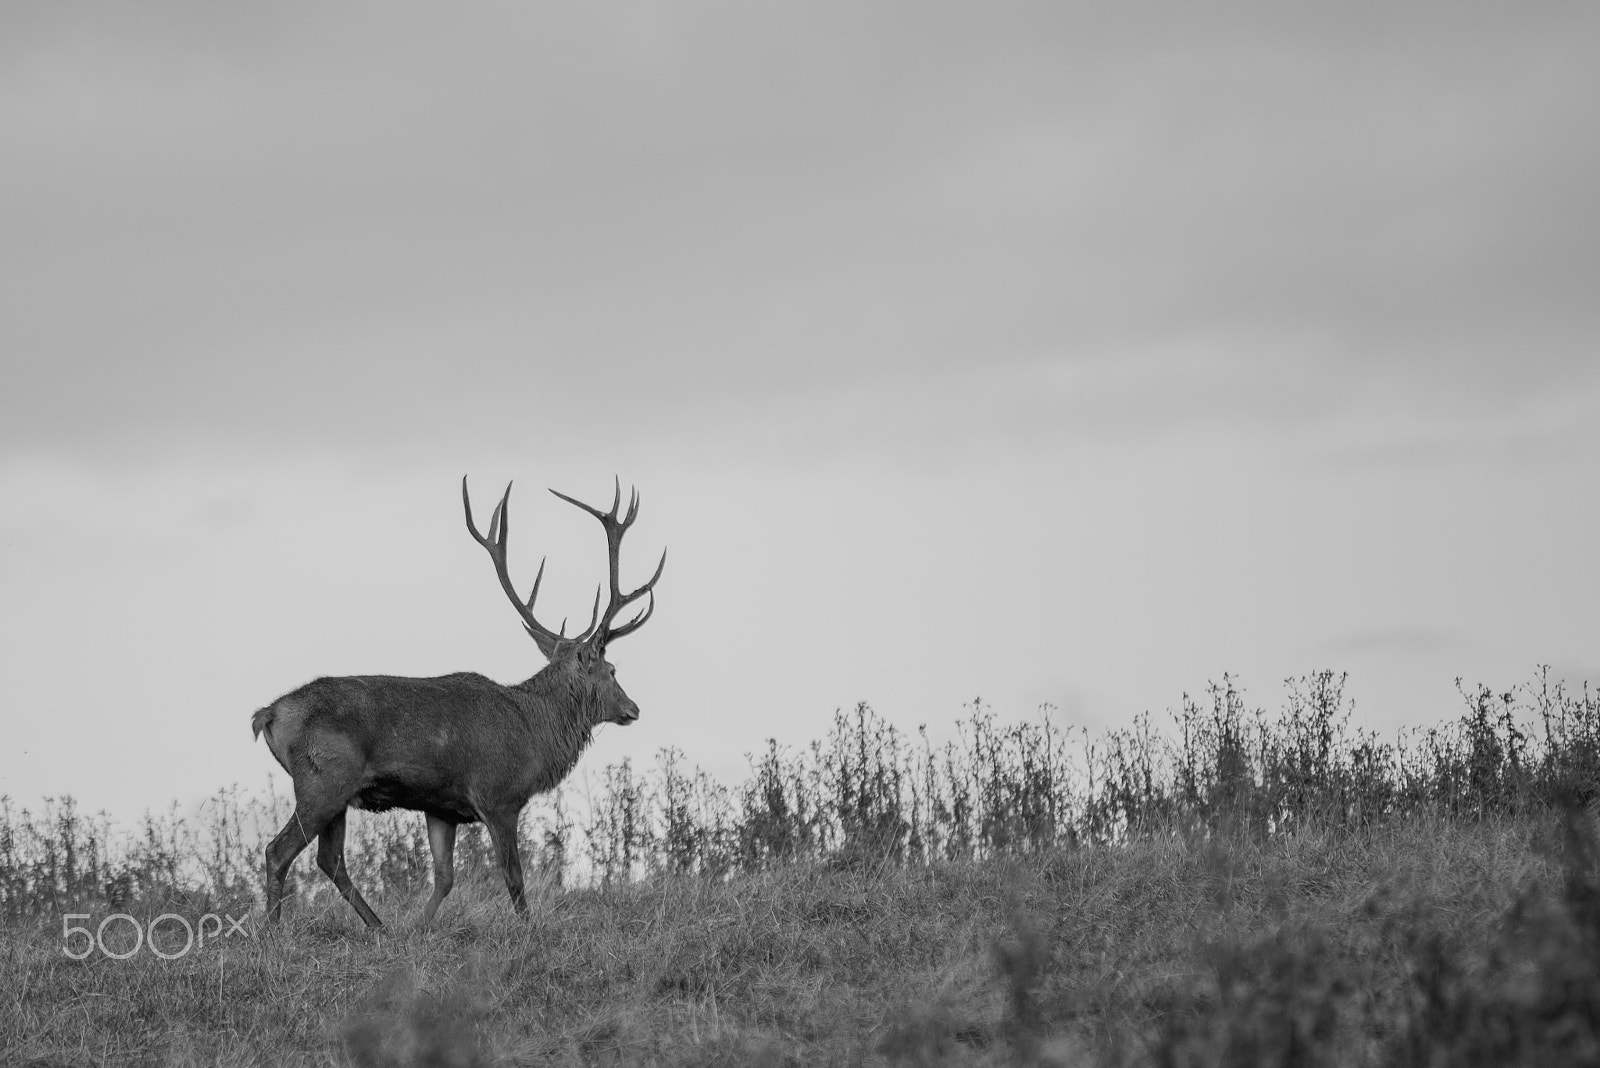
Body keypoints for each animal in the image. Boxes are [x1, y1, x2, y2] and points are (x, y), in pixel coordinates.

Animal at [250, 476, 665, 929]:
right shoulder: (498, 795)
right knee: (278, 851)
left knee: (330, 859)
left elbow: (445, 878)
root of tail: (269, 714)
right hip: (322, 780)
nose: (634, 709)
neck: (535, 735)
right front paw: (529, 928)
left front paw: (419, 927)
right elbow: (513, 877)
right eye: (612, 670)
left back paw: (380, 928)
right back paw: (274, 930)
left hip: (336, 794)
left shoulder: (442, 808)